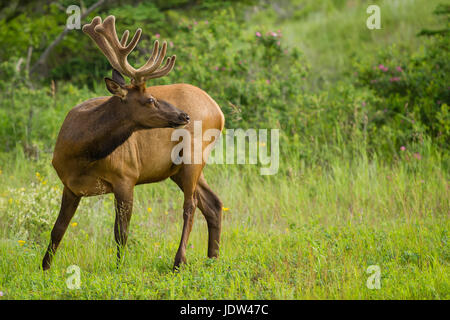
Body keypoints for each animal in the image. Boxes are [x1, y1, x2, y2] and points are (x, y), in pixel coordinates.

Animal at [41, 15, 224, 270]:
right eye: (150, 100)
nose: (184, 116)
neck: (80, 154)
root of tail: (218, 111)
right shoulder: (69, 186)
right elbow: (57, 230)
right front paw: (44, 268)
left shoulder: (126, 176)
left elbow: (121, 233)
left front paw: (119, 268)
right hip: (177, 169)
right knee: (213, 203)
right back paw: (212, 260)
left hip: (193, 154)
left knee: (191, 205)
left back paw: (179, 261)